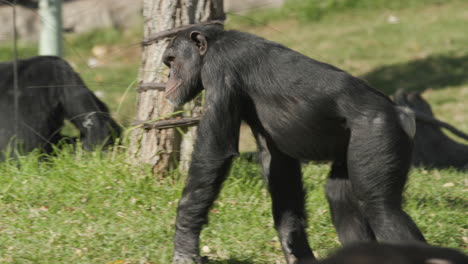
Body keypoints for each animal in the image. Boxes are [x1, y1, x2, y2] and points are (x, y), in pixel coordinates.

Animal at [163, 24, 426, 264]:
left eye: (172, 60)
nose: (168, 77)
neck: (212, 47)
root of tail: (401, 112)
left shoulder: (220, 70)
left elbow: (215, 151)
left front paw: (184, 246)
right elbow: (278, 165)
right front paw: (295, 248)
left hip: (378, 131)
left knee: (380, 207)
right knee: (339, 194)